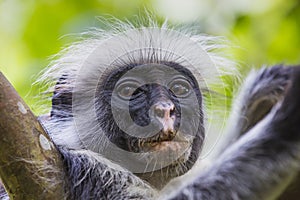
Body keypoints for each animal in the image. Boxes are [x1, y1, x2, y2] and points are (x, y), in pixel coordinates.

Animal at [0, 18, 300, 198]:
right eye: (128, 91)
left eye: (179, 89)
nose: (165, 109)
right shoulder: (89, 167)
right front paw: (284, 126)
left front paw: (260, 100)